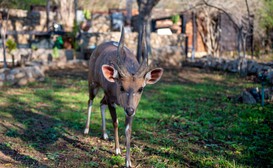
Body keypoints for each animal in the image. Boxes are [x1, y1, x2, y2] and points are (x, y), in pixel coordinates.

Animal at [84, 26, 163, 167]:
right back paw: (86, 130)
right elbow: (115, 122)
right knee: (90, 100)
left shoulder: (130, 107)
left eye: (141, 88)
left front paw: (128, 162)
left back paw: (105, 134)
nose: (130, 110)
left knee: (101, 103)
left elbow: (128, 129)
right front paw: (117, 150)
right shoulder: (111, 100)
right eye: (121, 87)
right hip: (93, 83)